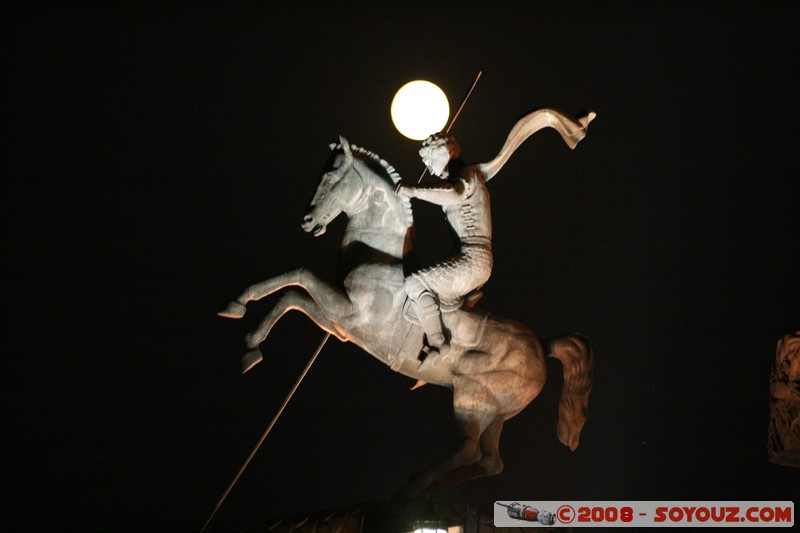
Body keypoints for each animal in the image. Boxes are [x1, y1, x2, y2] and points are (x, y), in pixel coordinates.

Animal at [219, 109, 592, 498]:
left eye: (331, 176)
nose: (307, 221)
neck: (379, 253)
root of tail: (543, 347)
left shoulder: (350, 312)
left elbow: (298, 278)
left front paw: (243, 320)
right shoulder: (339, 323)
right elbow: (293, 295)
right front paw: (247, 335)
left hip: (470, 399)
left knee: (469, 449)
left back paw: (417, 485)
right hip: (494, 414)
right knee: (490, 460)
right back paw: (425, 488)